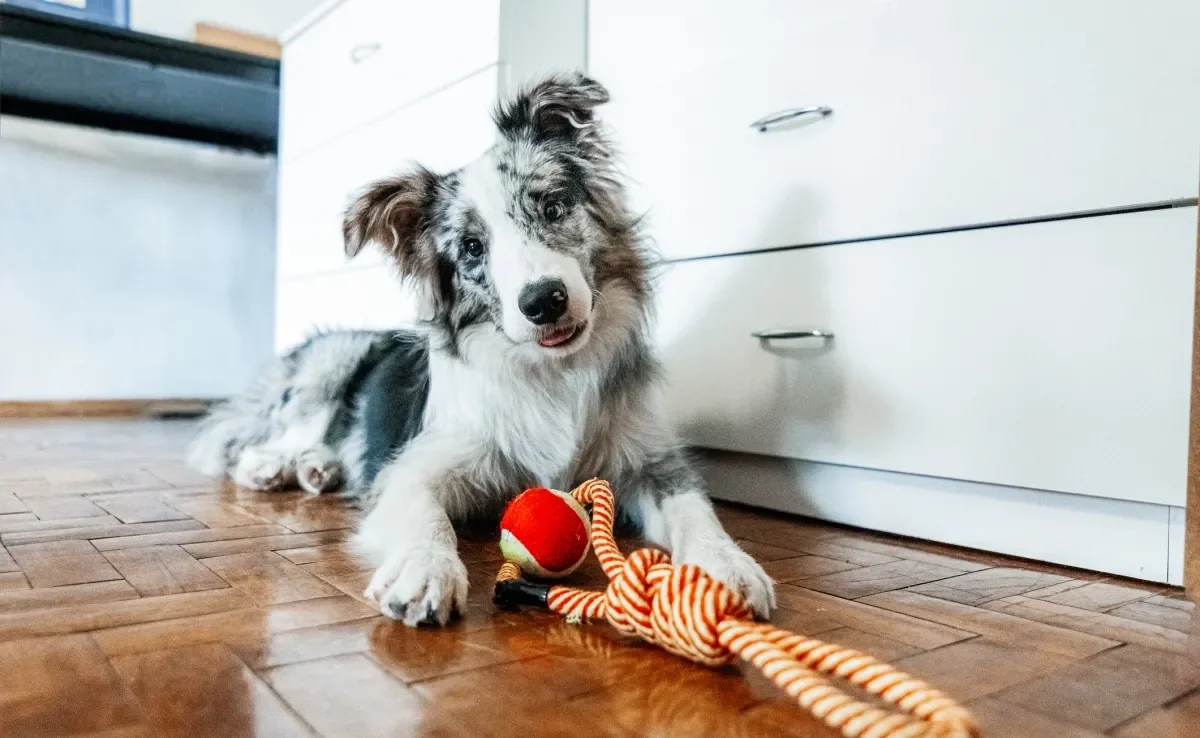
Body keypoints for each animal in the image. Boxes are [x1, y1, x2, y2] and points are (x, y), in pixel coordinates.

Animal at [187, 73, 768, 628]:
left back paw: (318, 470)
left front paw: (725, 568)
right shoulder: (417, 467)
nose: (544, 301)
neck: (551, 372)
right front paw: (425, 570)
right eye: (471, 248)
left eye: (553, 207)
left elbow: (697, 510)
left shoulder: (650, 459)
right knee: (246, 444)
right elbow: (425, 516)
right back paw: (274, 468)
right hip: (329, 368)